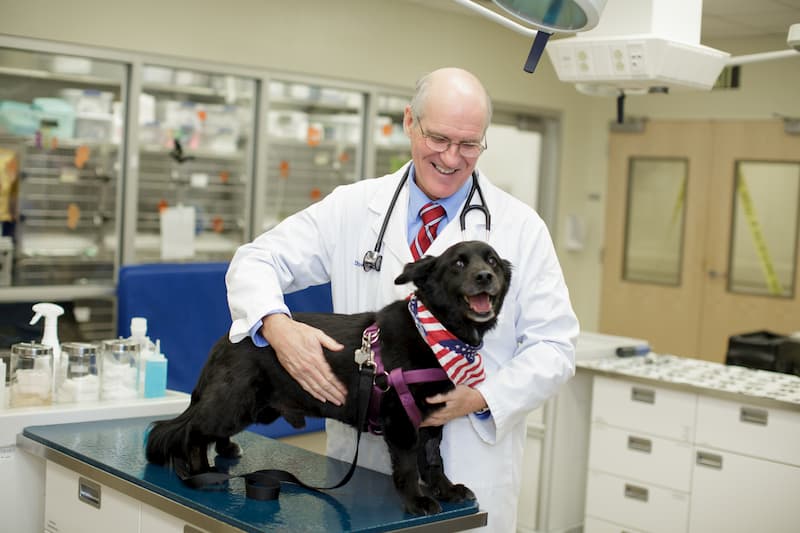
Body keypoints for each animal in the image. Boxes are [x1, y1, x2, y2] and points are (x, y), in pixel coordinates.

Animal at [145, 239, 512, 512]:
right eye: (458, 264)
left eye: (492, 261)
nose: (484, 276)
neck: (437, 331)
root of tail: (229, 337)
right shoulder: (401, 421)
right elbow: (409, 465)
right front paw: (417, 500)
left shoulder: (432, 422)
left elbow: (434, 461)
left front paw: (446, 490)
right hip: (231, 405)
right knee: (183, 431)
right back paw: (199, 470)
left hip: (249, 408)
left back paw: (219, 455)